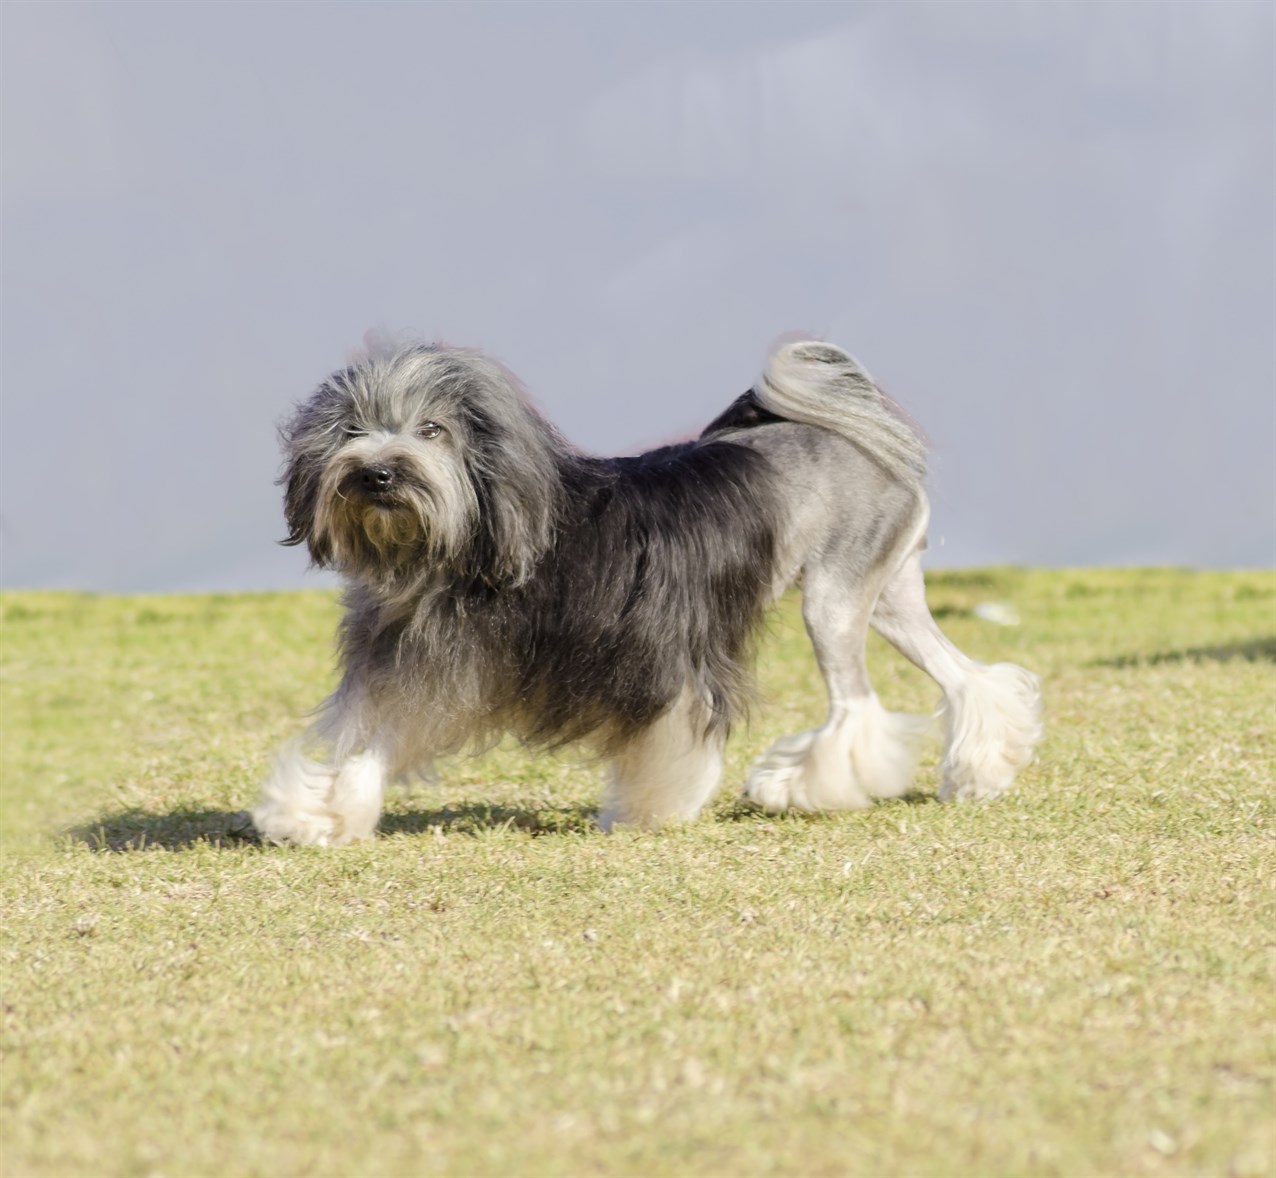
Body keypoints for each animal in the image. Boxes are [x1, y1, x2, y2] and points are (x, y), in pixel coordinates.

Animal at [253, 336, 1041, 842]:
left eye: (432, 429)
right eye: (353, 428)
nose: (377, 473)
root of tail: (854, 433)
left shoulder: (663, 662)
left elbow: (670, 735)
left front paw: (650, 811)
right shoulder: (418, 665)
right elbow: (372, 742)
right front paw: (321, 814)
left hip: (835, 598)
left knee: (856, 706)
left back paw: (794, 787)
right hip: (889, 598)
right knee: (967, 676)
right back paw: (981, 771)